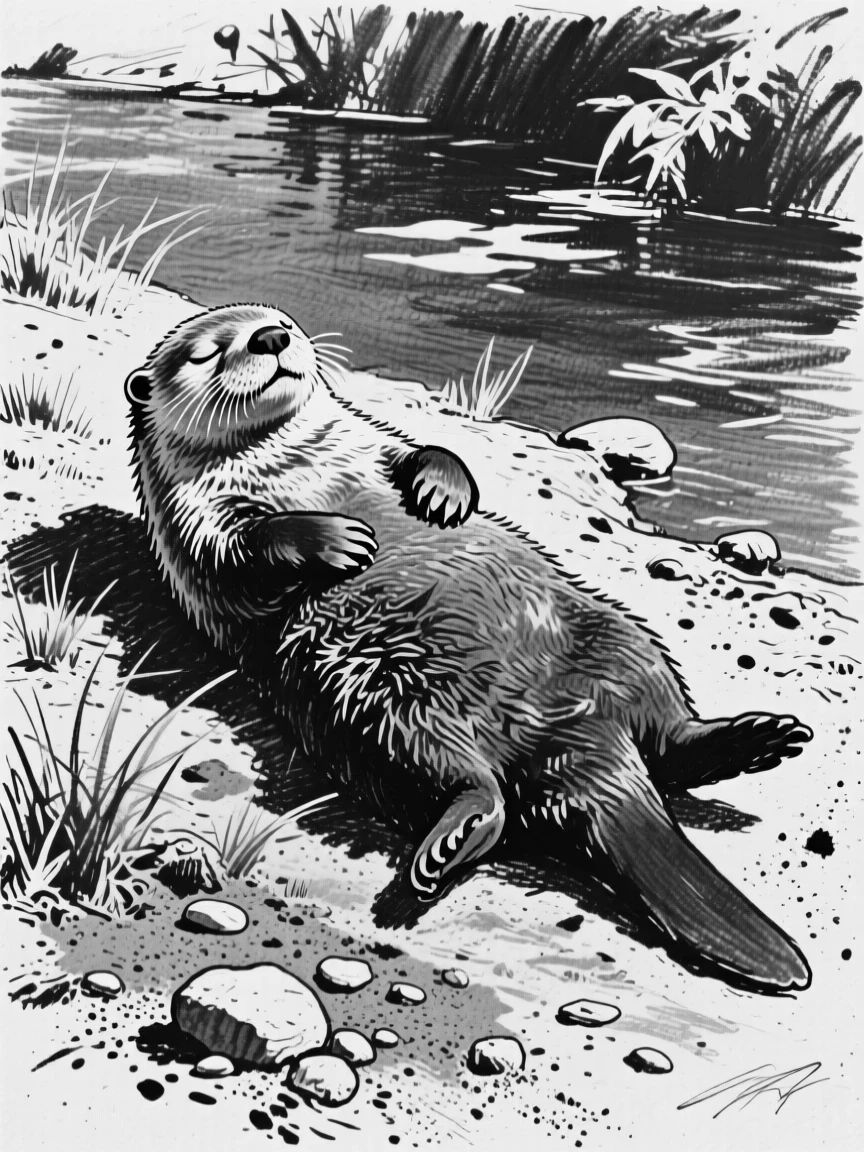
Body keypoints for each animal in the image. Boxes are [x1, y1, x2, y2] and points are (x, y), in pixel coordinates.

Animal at [127, 304, 813, 993]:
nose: (271, 337)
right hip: (376, 710)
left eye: (283, 322)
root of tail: (574, 743)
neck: (292, 463)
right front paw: (336, 539)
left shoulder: (369, 438)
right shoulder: (194, 524)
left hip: (619, 636)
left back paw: (761, 738)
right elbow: (242, 554)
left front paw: (443, 491)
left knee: (665, 733)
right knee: (476, 787)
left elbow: (429, 449)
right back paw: (453, 840)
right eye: (207, 351)